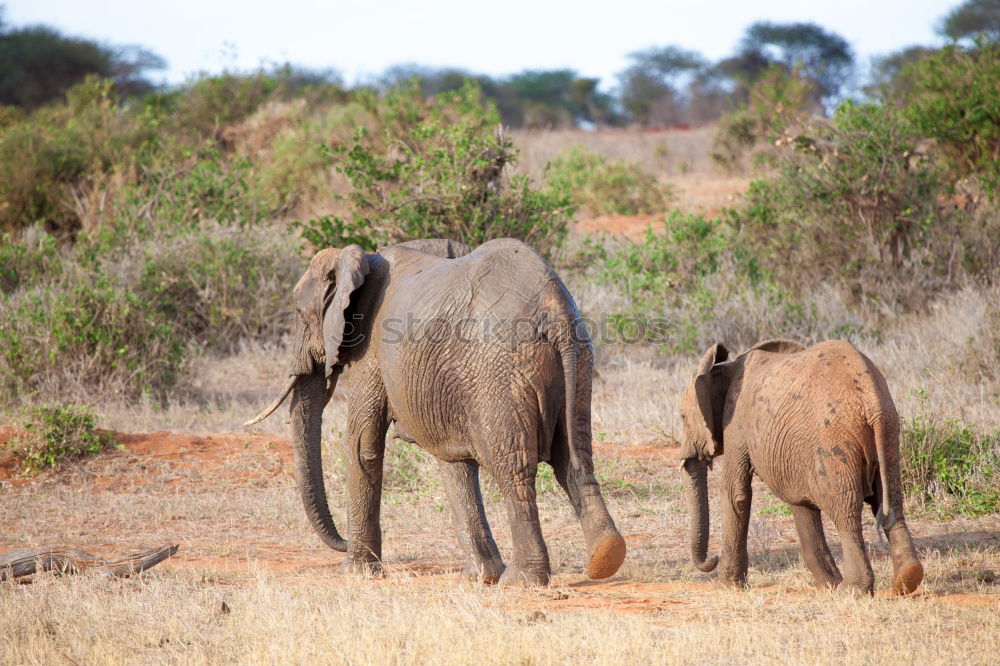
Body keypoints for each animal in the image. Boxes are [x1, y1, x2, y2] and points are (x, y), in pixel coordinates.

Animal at [248, 236, 624, 584]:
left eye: (301, 315)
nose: (339, 543)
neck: (364, 257)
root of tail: (553, 307)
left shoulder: (371, 349)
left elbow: (362, 445)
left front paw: (356, 573)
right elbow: (452, 459)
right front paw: (479, 577)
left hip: (500, 373)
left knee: (513, 467)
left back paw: (522, 580)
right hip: (578, 362)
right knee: (574, 456)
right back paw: (605, 558)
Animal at [676, 340, 924, 592]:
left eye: (683, 417)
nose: (712, 559)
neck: (724, 368)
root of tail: (871, 401)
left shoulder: (736, 424)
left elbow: (736, 493)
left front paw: (729, 586)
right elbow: (800, 500)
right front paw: (828, 586)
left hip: (834, 440)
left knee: (845, 510)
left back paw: (852, 590)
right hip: (889, 433)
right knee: (891, 501)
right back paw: (907, 579)